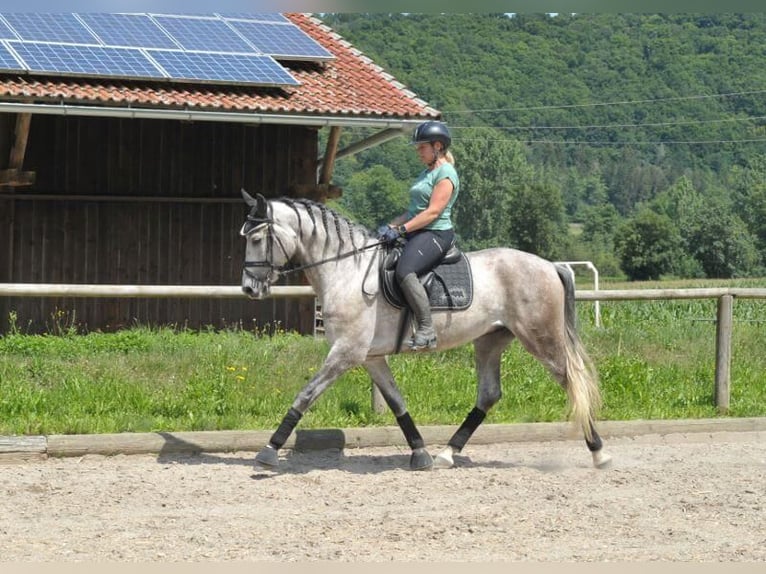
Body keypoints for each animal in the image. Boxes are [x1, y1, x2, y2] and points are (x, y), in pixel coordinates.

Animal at [240, 191, 612, 470]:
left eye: (257, 238)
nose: (248, 289)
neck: (346, 269)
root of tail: (550, 265)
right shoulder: (370, 357)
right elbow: (396, 401)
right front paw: (419, 453)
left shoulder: (346, 351)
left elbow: (306, 394)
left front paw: (269, 450)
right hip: (490, 340)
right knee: (489, 394)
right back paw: (447, 453)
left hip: (541, 338)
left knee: (572, 381)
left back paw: (599, 452)